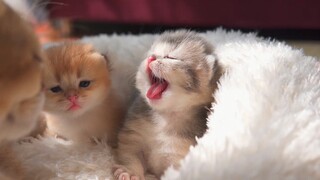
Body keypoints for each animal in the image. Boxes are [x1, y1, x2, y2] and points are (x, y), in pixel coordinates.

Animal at [113, 30, 222, 179]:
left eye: (170, 57)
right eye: (152, 53)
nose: (151, 58)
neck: (165, 117)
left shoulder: (179, 158)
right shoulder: (133, 136)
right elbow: (131, 155)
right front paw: (130, 172)